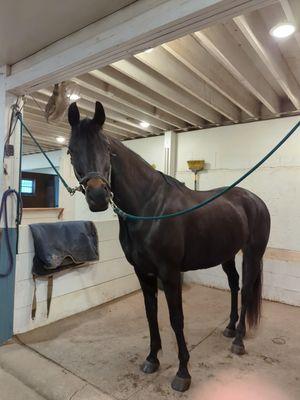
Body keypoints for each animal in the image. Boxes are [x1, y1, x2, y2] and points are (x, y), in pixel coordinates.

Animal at [68, 100, 272, 390]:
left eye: (106, 148)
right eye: (71, 151)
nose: (98, 196)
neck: (149, 208)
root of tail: (255, 200)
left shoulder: (170, 273)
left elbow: (177, 319)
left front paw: (183, 372)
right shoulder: (143, 272)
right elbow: (151, 314)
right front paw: (152, 359)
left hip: (252, 254)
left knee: (245, 290)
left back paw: (239, 340)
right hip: (227, 254)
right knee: (233, 284)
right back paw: (230, 328)